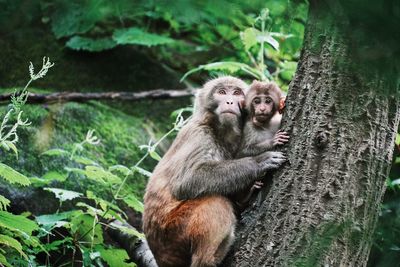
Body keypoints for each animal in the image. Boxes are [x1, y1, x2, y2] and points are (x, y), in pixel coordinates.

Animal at [142, 76, 286, 266]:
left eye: (237, 93)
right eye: (222, 92)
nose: (230, 101)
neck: (218, 129)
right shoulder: (199, 135)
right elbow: (187, 181)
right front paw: (259, 161)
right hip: (173, 231)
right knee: (216, 200)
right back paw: (208, 258)